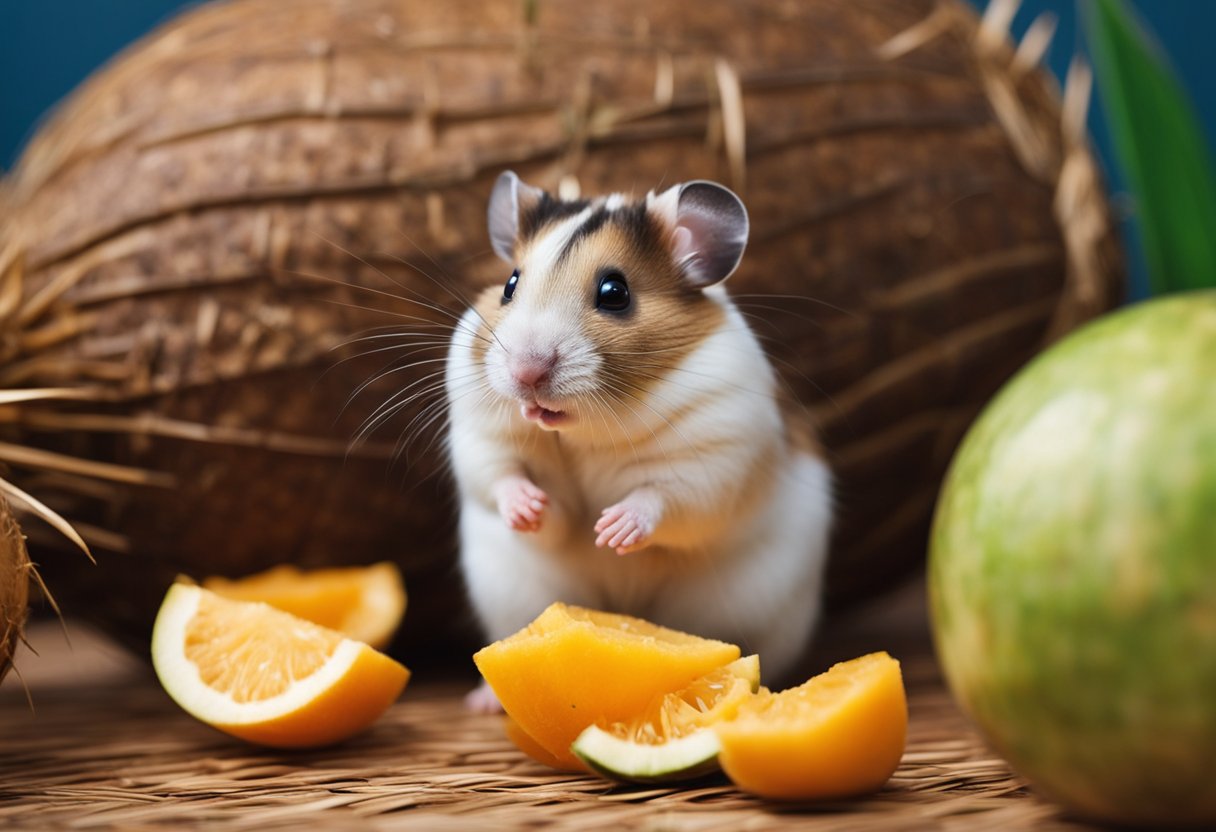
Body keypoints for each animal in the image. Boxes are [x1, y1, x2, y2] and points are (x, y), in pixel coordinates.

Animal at [447, 172, 836, 710]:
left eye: (615, 292)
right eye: (510, 284)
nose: (525, 374)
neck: (582, 431)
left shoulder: (717, 456)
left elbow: (665, 498)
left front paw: (612, 532)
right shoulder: (481, 440)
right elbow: (506, 482)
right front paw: (530, 508)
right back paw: (481, 703)